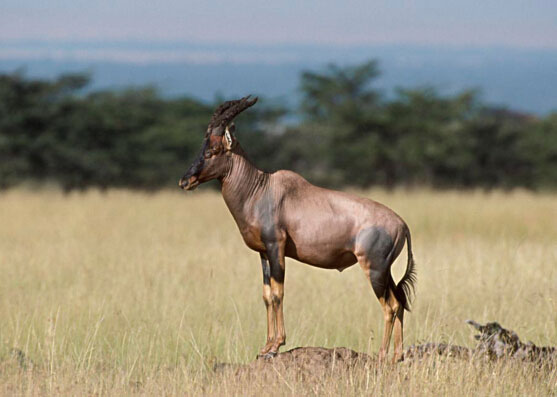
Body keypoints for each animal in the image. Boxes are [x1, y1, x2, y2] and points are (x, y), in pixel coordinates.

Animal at [180, 96, 414, 362]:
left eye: (212, 150)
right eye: (202, 148)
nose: (185, 181)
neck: (261, 189)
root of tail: (402, 224)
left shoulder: (276, 247)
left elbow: (278, 293)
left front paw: (275, 346)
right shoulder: (263, 253)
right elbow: (267, 295)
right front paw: (265, 348)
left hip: (374, 269)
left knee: (390, 306)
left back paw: (383, 355)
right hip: (386, 271)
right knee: (400, 302)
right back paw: (397, 355)